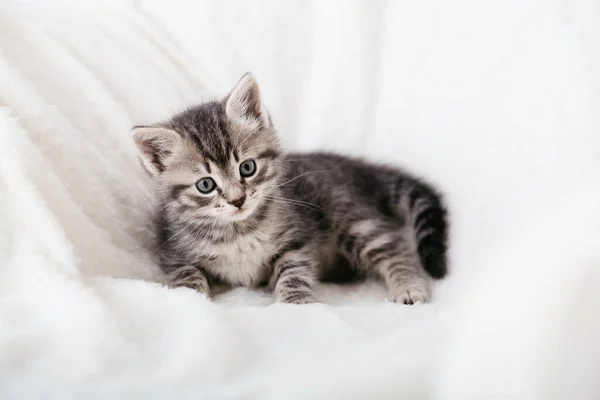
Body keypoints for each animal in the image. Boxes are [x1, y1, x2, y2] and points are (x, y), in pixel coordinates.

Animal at [134, 72, 448, 304]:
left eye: (247, 168)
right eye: (205, 185)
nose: (238, 199)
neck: (238, 231)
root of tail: (351, 167)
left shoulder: (297, 237)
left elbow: (293, 270)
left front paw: (296, 304)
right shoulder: (171, 251)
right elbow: (186, 275)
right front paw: (192, 299)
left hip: (350, 217)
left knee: (391, 246)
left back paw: (409, 285)